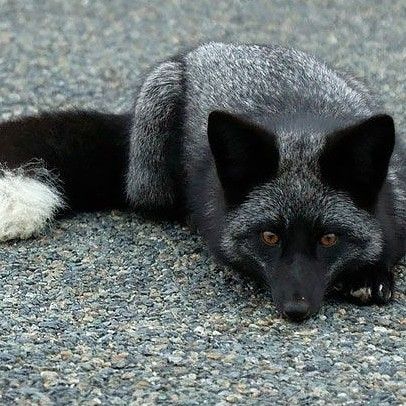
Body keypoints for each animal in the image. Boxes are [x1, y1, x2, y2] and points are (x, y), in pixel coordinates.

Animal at [0, 42, 404, 320]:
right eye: (269, 237)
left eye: (329, 239)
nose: (295, 310)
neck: (300, 127)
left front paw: (372, 274)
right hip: (156, 128)